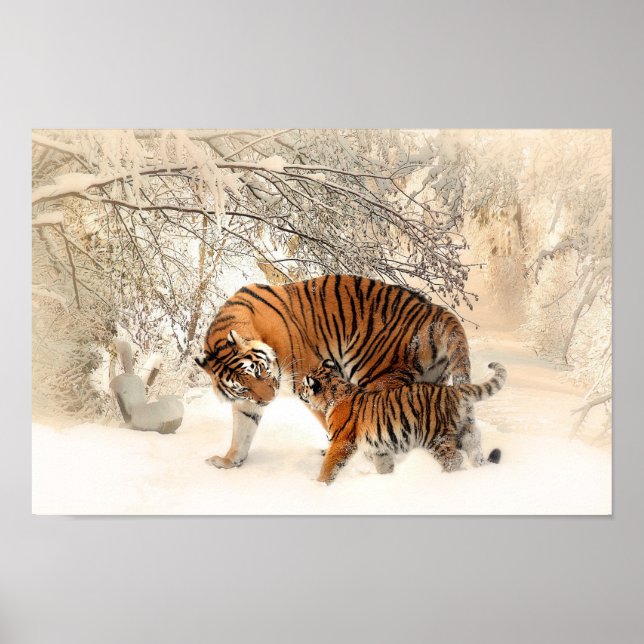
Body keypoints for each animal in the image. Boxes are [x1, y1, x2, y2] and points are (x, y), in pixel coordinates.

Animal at [195, 274, 473, 470]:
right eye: (243, 387)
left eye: (260, 371)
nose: (269, 400)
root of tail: (435, 310)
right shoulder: (247, 402)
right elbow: (242, 431)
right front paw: (229, 461)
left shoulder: (309, 378)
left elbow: (331, 421)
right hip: (430, 382)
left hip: (377, 376)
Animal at [297, 359, 506, 484]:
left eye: (304, 385)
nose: (298, 391)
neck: (334, 394)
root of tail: (453, 390)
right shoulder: (379, 447)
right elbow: (384, 465)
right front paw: (387, 480)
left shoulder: (342, 442)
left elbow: (329, 465)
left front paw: (319, 485)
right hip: (467, 431)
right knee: (475, 452)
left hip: (434, 437)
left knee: (454, 459)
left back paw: (442, 478)